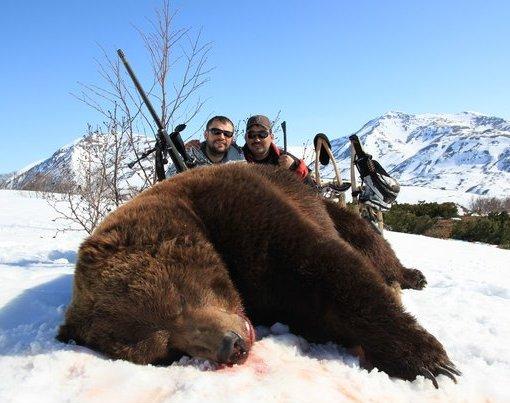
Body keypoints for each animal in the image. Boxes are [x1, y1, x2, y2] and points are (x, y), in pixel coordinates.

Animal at [57, 162, 459, 387]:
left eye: (178, 300)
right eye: (166, 350)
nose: (231, 346)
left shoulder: (243, 210)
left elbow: (328, 266)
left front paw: (430, 361)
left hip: (328, 209)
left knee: (369, 240)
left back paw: (408, 276)